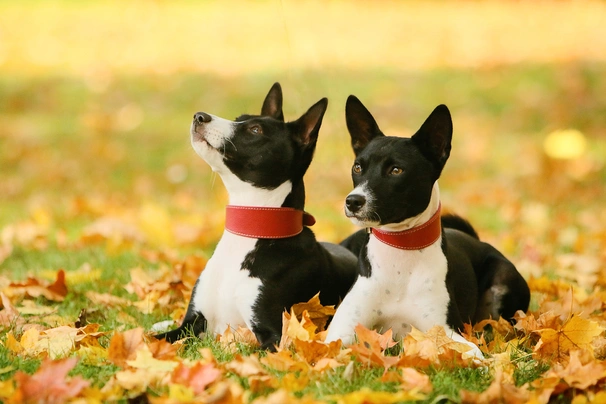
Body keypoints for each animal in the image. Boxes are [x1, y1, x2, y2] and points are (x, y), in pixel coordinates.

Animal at [154, 83, 360, 348]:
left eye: (255, 130)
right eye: (238, 119)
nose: (199, 116)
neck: (248, 234)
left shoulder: (273, 337)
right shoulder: (190, 324)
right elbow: (150, 339)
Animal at [328, 96, 532, 358]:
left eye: (396, 170)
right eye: (357, 167)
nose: (353, 201)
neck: (400, 255)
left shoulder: (445, 329)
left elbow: (473, 352)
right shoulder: (342, 330)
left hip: (503, 280)